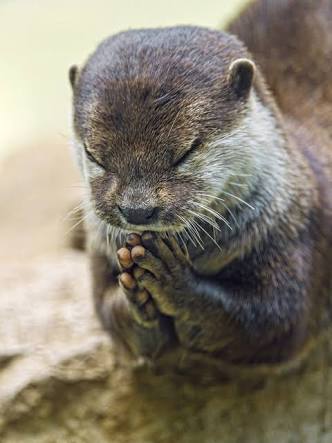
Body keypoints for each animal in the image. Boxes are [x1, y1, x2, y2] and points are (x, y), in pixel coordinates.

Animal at [68, 0, 332, 370]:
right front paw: (134, 297)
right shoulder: (101, 252)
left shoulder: (297, 235)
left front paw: (173, 281)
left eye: (185, 151)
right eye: (95, 155)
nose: (137, 210)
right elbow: (111, 314)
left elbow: (273, 322)